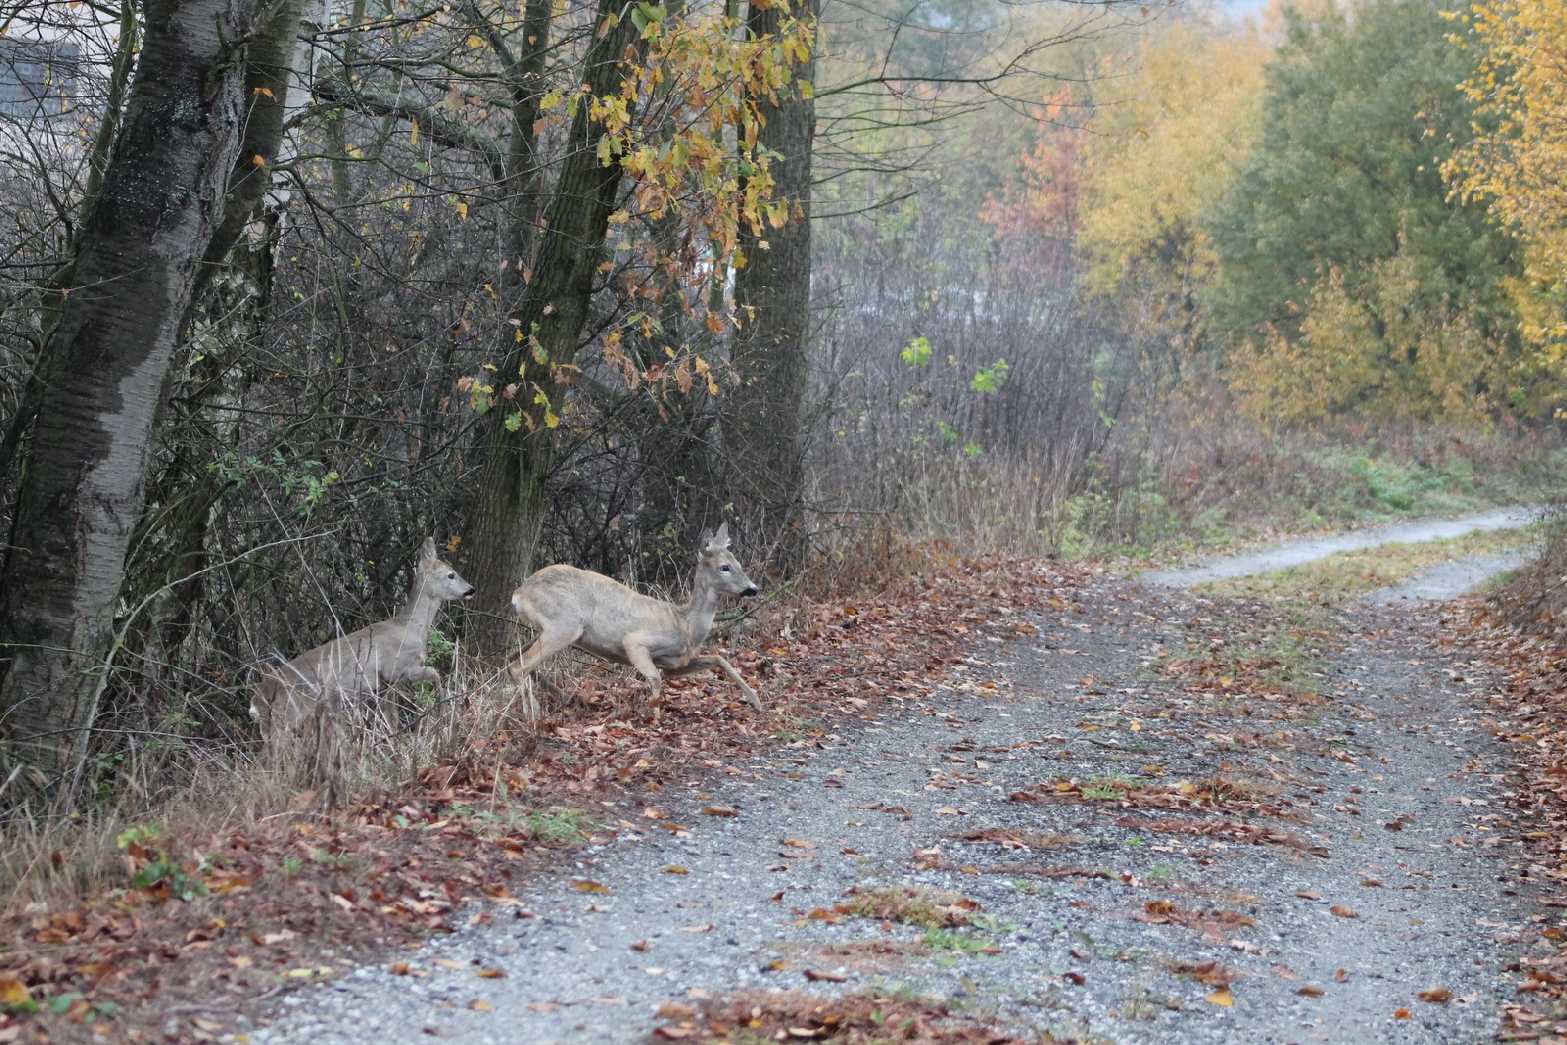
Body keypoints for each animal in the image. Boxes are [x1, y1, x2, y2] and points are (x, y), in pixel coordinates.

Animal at [250, 538, 476, 742]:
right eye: (451, 574)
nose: (471, 589)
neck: (410, 628)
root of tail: (258, 698)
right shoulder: (396, 668)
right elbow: (435, 673)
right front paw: (444, 712)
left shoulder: (384, 686)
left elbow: (390, 717)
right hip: (289, 713)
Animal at [510, 520, 761, 714]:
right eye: (724, 567)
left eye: (738, 563)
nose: (753, 589)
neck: (686, 625)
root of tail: (519, 593)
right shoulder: (635, 641)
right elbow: (655, 678)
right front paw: (653, 716)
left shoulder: (673, 664)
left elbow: (719, 658)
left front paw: (756, 701)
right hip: (564, 625)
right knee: (518, 666)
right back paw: (534, 713)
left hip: (550, 628)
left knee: (514, 658)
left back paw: (563, 699)